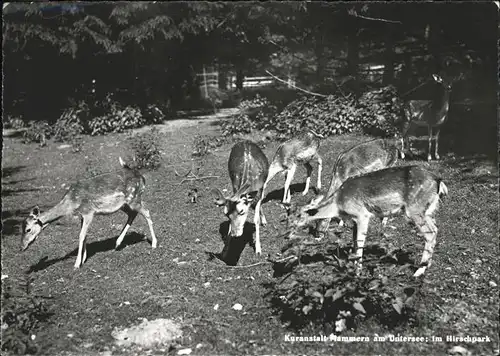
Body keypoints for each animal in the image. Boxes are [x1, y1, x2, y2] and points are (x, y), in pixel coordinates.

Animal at [20, 157, 157, 268]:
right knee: (132, 214)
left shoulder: (89, 212)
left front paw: (77, 264)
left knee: (146, 211)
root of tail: (141, 177)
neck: (71, 203)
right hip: (123, 204)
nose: (21, 247)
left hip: (134, 198)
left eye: (28, 229)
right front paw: (84, 259)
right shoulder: (82, 215)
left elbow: (81, 235)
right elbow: (84, 235)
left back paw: (154, 244)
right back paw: (117, 243)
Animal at [288, 165, 448, 278]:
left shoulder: (362, 215)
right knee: (435, 228)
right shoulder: (354, 221)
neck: (338, 205)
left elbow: (359, 245)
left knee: (430, 233)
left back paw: (418, 271)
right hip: (427, 211)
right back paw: (427, 264)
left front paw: (358, 274)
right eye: (289, 215)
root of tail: (439, 181)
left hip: (414, 209)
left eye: (298, 215)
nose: (288, 234)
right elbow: (354, 244)